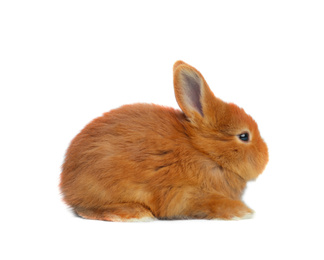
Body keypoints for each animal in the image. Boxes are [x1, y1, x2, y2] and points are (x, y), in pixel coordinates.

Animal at [59, 61, 268, 221]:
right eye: (244, 136)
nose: (265, 157)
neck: (204, 152)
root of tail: (65, 185)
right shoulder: (187, 194)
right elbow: (213, 204)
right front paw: (243, 212)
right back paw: (136, 213)